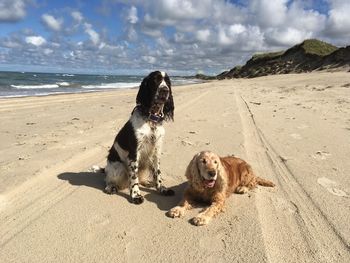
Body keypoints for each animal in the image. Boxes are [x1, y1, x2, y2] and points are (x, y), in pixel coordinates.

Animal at [104, 71, 175, 205]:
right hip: (118, 167)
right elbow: (134, 177)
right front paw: (136, 195)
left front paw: (162, 188)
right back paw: (110, 187)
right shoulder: (134, 153)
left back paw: (146, 182)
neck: (151, 119)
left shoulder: (156, 151)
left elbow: (157, 173)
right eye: (155, 80)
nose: (165, 90)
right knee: (108, 180)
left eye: (168, 82)